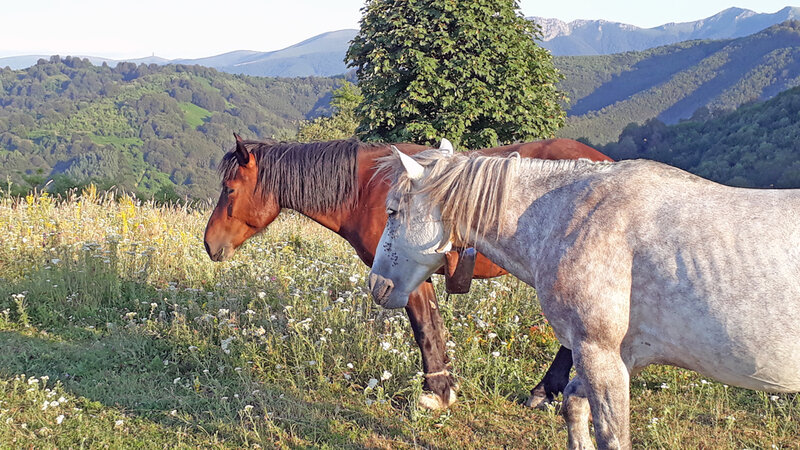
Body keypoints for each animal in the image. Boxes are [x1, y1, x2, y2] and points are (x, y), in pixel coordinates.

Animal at [203, 135, 613, 410]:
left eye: (229, 189)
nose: (209, 244)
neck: (366, 189)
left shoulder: (407, 277)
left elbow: (425, 330)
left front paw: (438, 393)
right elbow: (433, 327)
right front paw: (445, 384)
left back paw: (544, 390)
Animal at [368, 148, 800, 449]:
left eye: (392, 211)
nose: (377, 285)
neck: (575, 216)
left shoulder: (597, 352)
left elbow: (611, 435)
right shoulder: (618, 356)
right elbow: (573, 406)